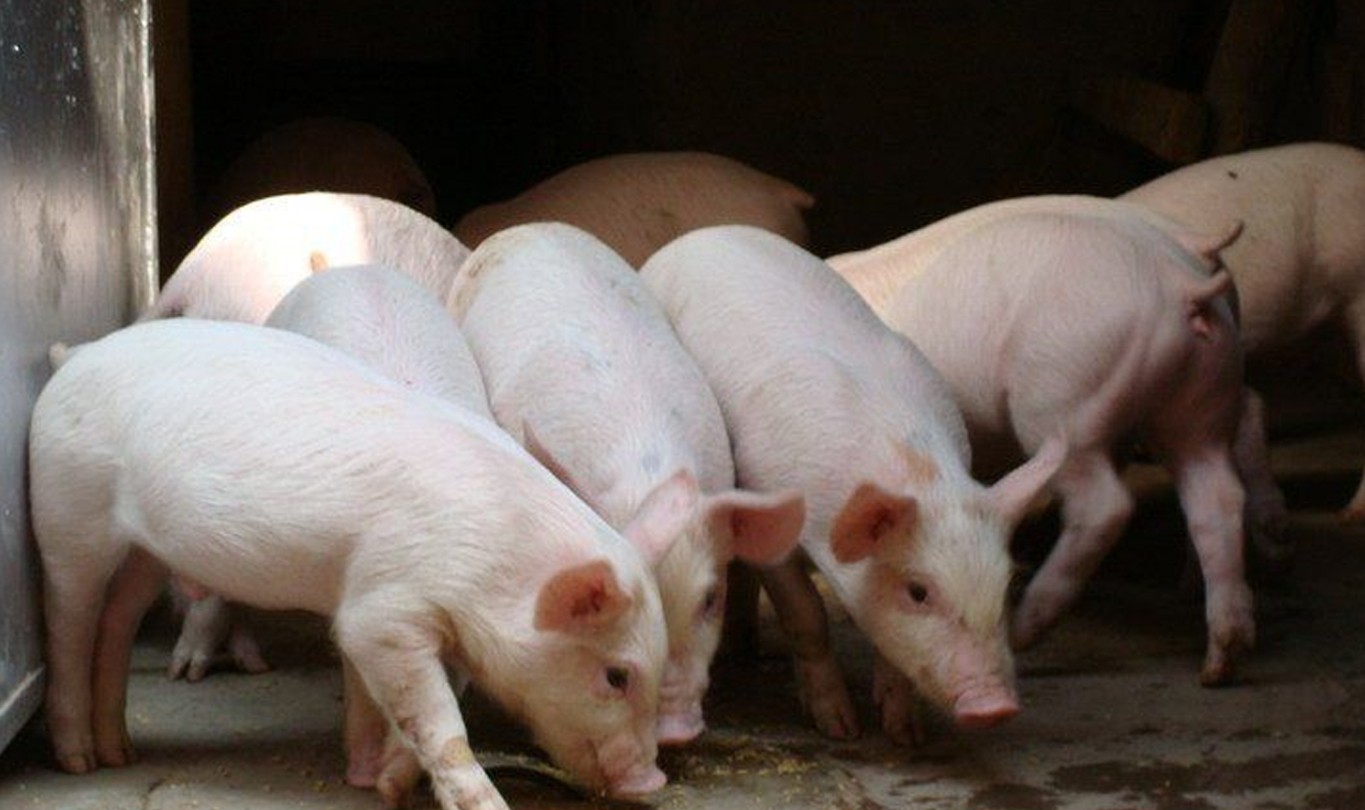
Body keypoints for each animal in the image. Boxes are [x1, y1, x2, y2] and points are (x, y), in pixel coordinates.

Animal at [30, 318, 681, 808]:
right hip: (68, 508)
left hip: (145, 549)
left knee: (117, 619)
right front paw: (486, 804)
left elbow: (401, 709)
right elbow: (439, 719)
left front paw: (385, 783)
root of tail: (76, 355)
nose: (651, 778)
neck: (497, 555)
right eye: (617, 675)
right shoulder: (384, 607)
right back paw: (79, 761)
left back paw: (121, 752)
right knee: (68, 619)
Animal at [641, 225, 1064, 744]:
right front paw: (841, 729)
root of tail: (700, 233)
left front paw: (904, 733)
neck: (921, 471)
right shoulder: (769, 506)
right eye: (919, 591)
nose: (995, 706)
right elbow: (806, 614)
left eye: (1007, 587)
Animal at [870, 210, 1255, 685]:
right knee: (1218, 498)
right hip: (1205, 398)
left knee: (1105, 505)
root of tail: (1176, 285)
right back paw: (1220, 663)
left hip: (1063, 400)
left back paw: (1023, 631)